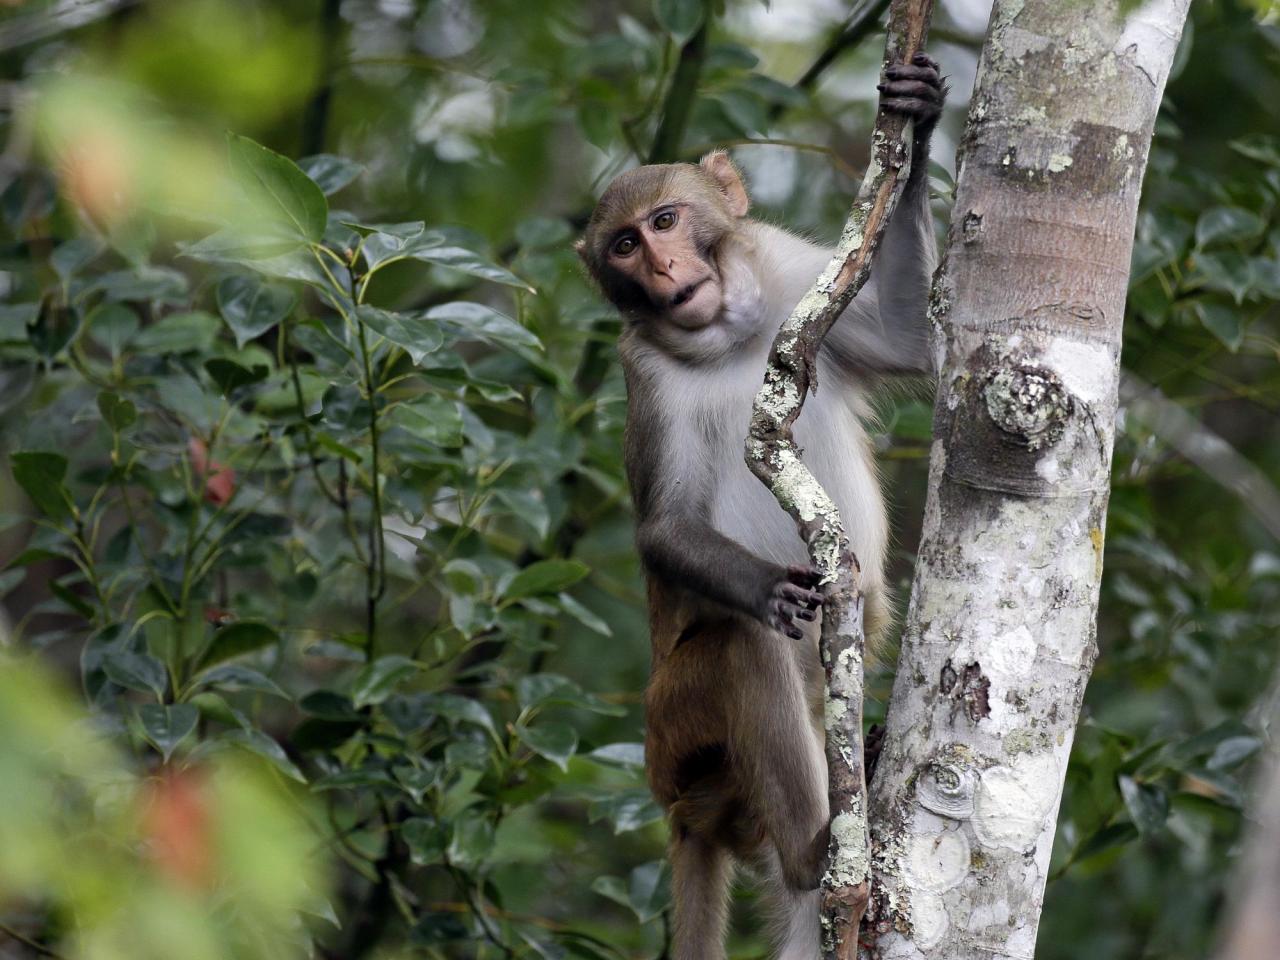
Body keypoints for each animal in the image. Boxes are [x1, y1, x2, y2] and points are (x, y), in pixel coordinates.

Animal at [576, 54, 947, 960]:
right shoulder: (645, 372)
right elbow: (665, 526)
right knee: (742, 649)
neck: (730, 335)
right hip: (677, 732)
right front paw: (768, 588)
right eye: (625, 245)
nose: (663, 273)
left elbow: (909, 340)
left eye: (666, 220)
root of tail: (684, 811)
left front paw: (918, 119)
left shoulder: (791, 273)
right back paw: (816, 851)